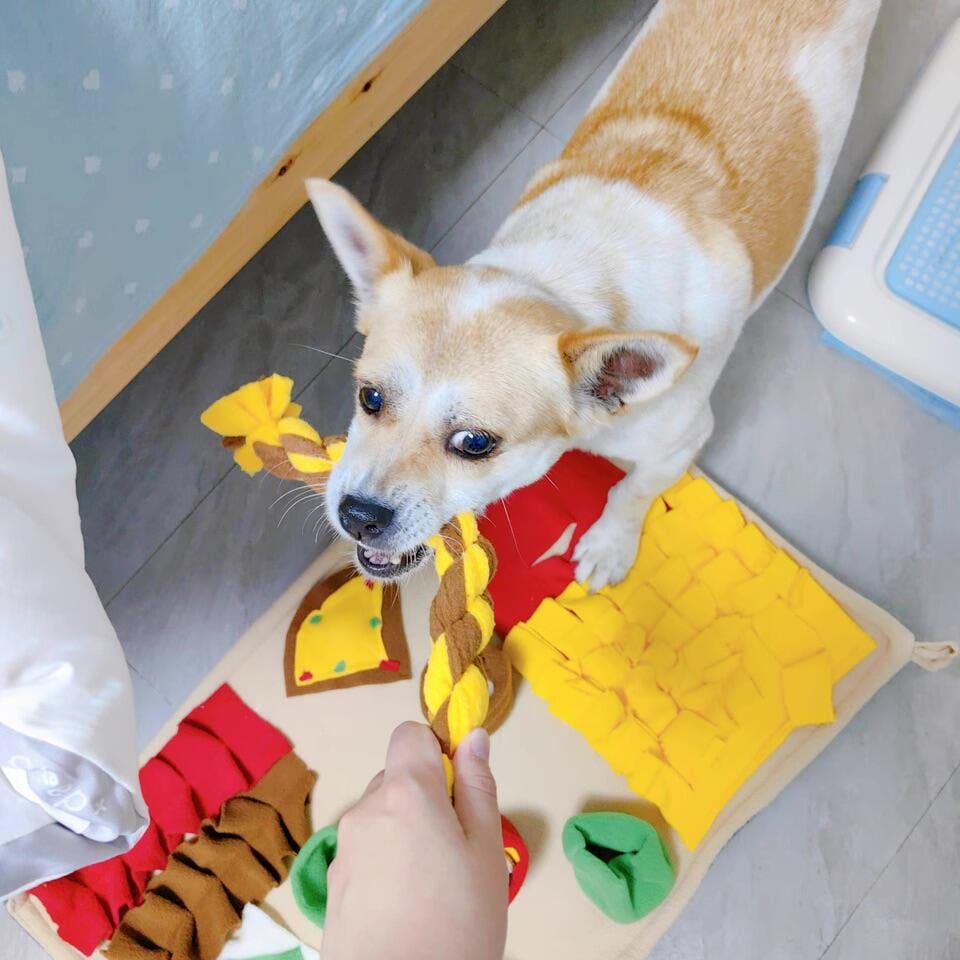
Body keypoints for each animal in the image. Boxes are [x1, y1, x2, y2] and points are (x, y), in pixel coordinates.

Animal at [307, 0, 881, 587]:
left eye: (475, 444)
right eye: (369, 398)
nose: (357, 515)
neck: (565, 275)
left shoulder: (679, 442)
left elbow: (632, 490)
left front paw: (610, 545)